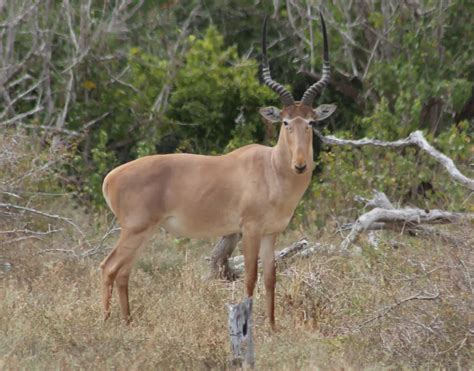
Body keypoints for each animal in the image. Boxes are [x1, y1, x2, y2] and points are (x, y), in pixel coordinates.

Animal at [100, 12, 336, 328]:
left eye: (310, 122)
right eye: (285, 122)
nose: (300, 165)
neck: (270, 168)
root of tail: (110, 177)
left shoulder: (271, 233)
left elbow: (270, 279)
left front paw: (273, 328)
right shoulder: (249, 230)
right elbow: (250, 278)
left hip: (144, 232)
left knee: (124, 271)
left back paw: (127, 322)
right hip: (135, 230)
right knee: (109, 267)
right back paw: (106, 323)